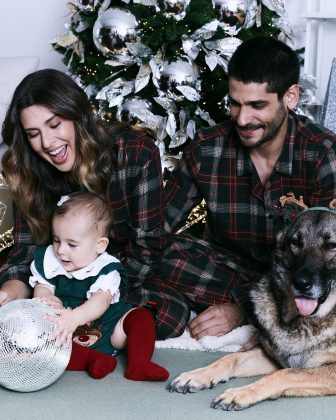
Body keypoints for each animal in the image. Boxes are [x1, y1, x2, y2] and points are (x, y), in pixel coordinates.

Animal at [169, 209, 336, 410]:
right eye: (295, 243)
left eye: (332, 245)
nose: (301, 284)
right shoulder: (272, 358)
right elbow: (231, 358)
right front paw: (197, 375)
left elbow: (284, 373)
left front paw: (239, 393)